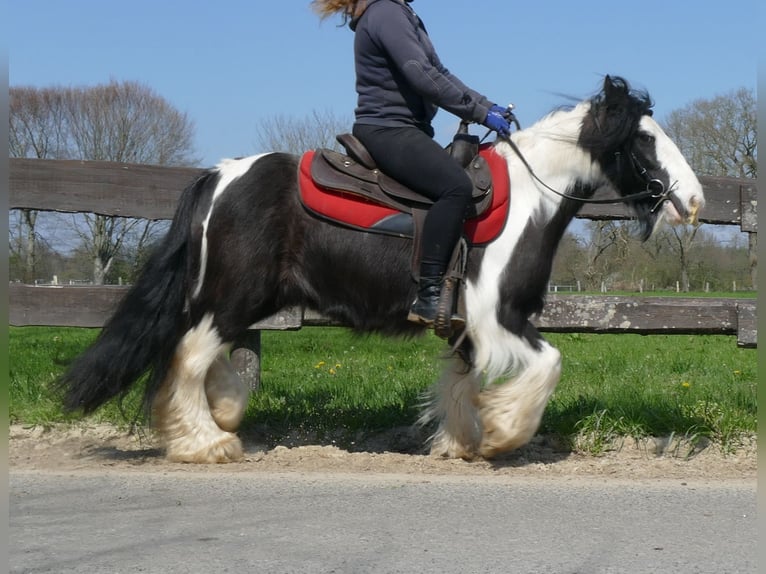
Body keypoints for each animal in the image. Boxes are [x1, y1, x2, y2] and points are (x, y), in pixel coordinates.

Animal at [60, 76, 708, 464]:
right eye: (644, 139)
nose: (695, 200)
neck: (529, 196)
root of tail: (221, 175)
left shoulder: (468, 328)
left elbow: (461, 382)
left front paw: (460, 443)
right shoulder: (498, 318)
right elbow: (549, 364)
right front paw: (504, 431)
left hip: (239, 300)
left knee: (200, 356)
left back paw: (223, 412)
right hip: (232, 298)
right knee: (188, 356)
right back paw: (205, 441)